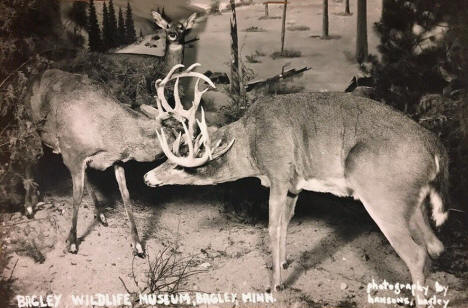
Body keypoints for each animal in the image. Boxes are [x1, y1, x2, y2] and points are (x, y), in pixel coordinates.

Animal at [25, 63, 214, 256]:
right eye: (183, 142)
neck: (110, 134)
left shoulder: (116, 160)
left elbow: (125, 195)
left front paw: (137, 245)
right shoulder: (72, 154)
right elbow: (76, 198)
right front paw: (72, 242)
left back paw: (100, 213)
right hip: (30, 126)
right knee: (28, 159)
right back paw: (29, 206)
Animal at [145, 66, 450, 304]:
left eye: (182, 164)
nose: (148, 177)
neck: (251, 143)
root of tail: (436, 149)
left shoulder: (278, 174)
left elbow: (273, 227)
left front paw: (275, 284)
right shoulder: (294, 185)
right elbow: (286, 223)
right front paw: (282, 263)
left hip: (383, 198)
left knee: (417, 255)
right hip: (413, 204)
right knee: (435, 247)